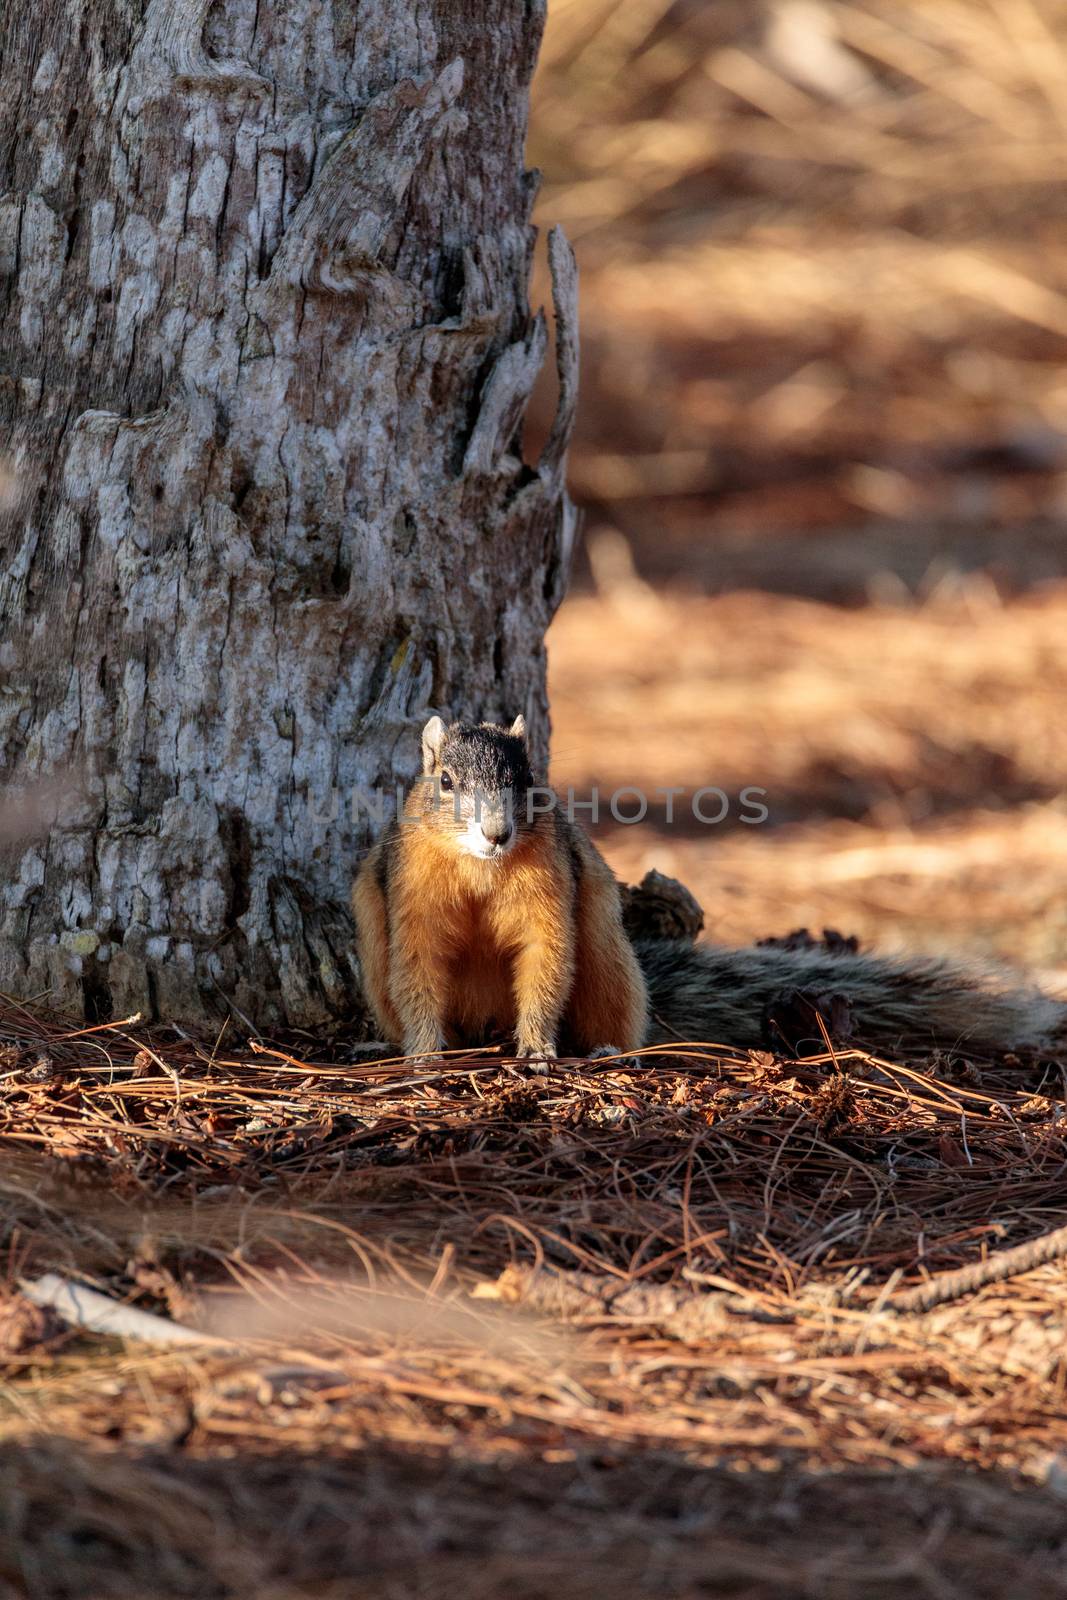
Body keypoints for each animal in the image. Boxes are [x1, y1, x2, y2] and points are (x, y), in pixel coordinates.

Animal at [351, 720, 1067, 1068]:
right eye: (445, 782)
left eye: (529, 779)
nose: (498, 833)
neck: (482, 869)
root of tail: (483, 1022)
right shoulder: (411, 896)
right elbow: (419, 968)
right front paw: (424, 1054)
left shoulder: (550, 889)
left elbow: (546, 960)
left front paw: (537, 1048)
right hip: (375, 961)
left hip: (609, 958)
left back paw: (603, 1049)